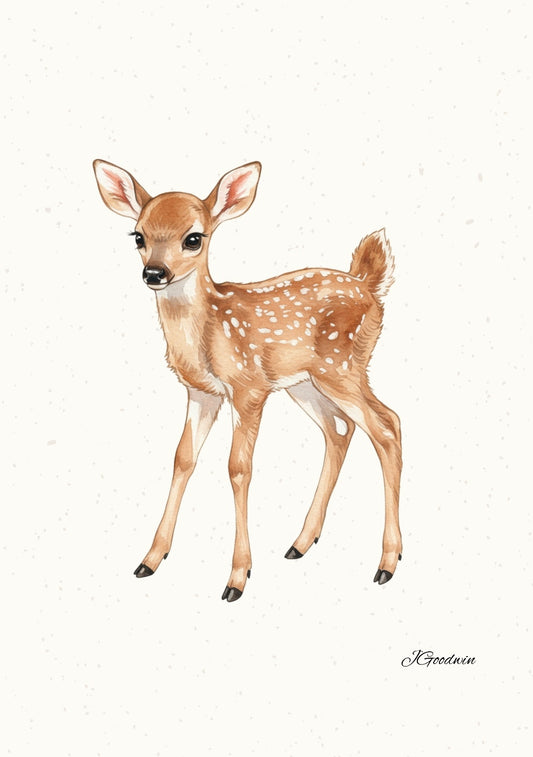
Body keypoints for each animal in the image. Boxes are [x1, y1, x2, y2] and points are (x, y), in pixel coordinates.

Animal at [93, 159, 402, 602]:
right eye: (139, 235)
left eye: (194, 238)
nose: (154, 273)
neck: (207, 334)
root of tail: (368, 285)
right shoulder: (202, 393)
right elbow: (183, 458)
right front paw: (150, 559)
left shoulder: (248, 388)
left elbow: (238, 467)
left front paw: (237, 578)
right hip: (305, 382)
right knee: (341, 429)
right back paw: (301, 543)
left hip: (342, 366)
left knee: (387, 425)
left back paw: (386, 563)